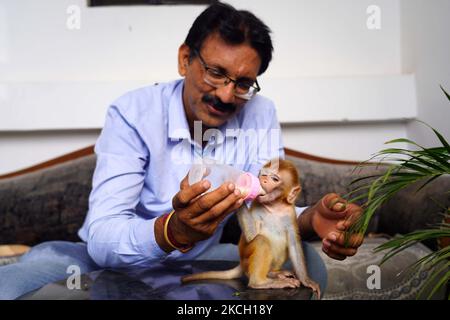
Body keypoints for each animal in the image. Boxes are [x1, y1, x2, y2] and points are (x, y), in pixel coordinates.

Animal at [181, 159, 322, 298]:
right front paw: (238, 193)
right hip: (246, 258)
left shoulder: (290, 214)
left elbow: (293, 243)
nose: (263, 180)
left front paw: (306, 280)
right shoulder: (257, 205)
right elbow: (251, 235)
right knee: (261, 241)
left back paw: (273, 273)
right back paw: (260, 282)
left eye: (274, 179)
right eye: (263, 174)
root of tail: (241, 263)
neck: (274, 207)